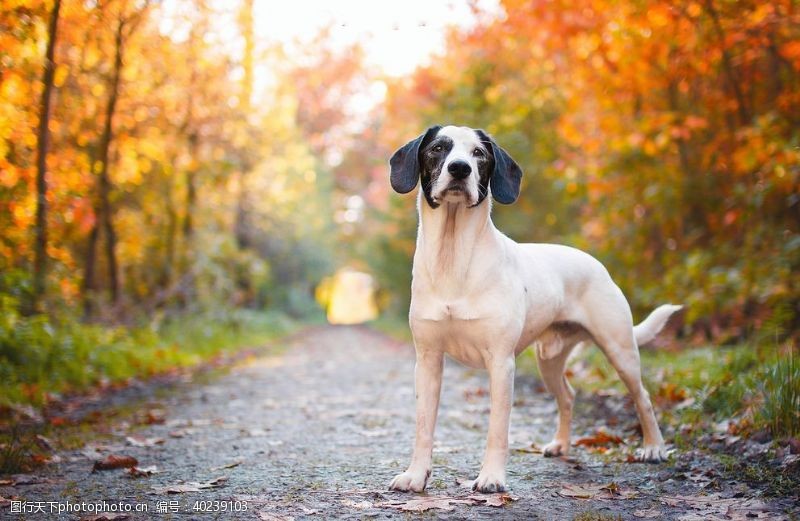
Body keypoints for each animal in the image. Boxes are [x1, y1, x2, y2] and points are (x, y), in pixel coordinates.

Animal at [384, 125, 680, 492]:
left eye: (479, 153)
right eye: (438, 148)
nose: (460, 169)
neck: (453, 257)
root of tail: (597, 264)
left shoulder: (501, 363)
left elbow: (498, 429)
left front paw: (491, 477)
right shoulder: (427, 360)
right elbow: (423, 426)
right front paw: (415, 474)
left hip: (620, 350)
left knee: (644, 399)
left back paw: (654, 448)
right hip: (549, 361)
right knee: (568, 396)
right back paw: (561, 445)